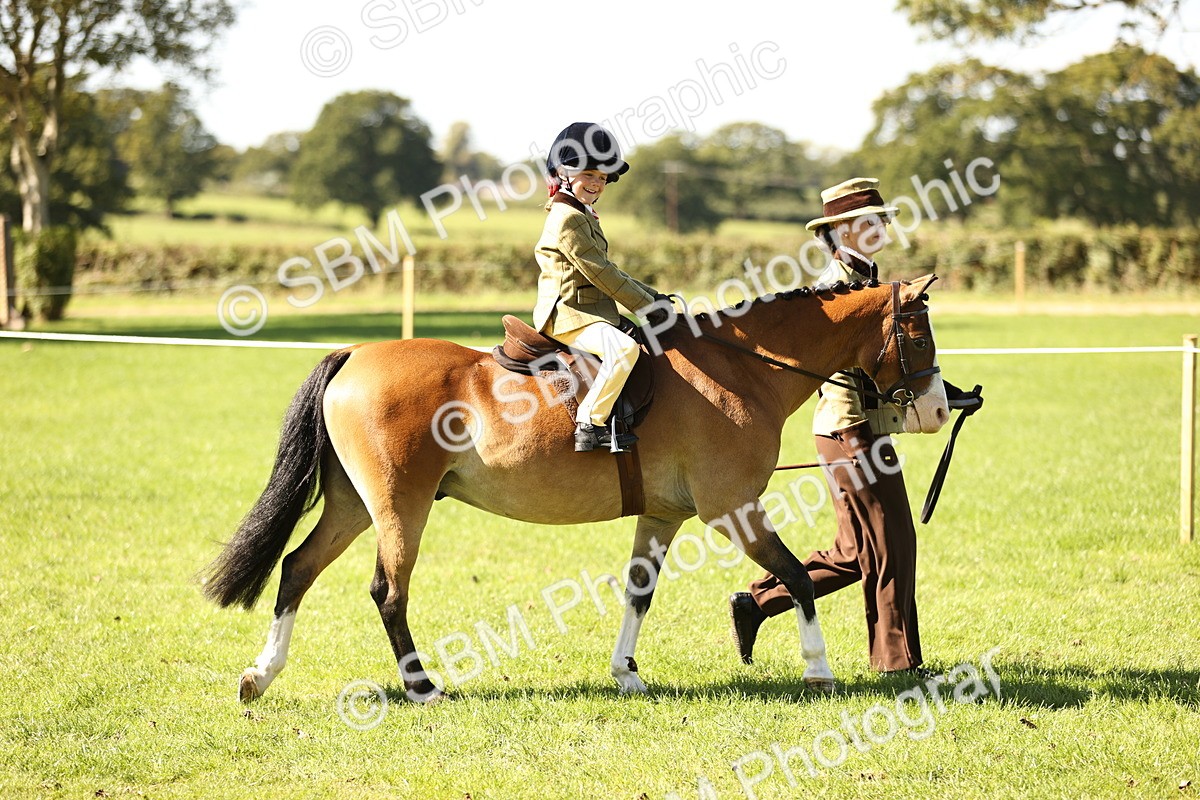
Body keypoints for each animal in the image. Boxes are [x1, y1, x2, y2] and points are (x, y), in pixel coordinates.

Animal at [203, 275, 949, 704]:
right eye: (918, 335)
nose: (939, 408)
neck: (740, 367)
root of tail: (355, 353)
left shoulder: (664, 515)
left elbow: (639, 592)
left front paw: (626, 672)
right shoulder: (731, 509)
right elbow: (794, 576)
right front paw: (818, 669)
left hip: (353, 505)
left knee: (297, 569)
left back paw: (260, 676)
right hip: (397, 508)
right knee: (388, 591)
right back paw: (421, 686)